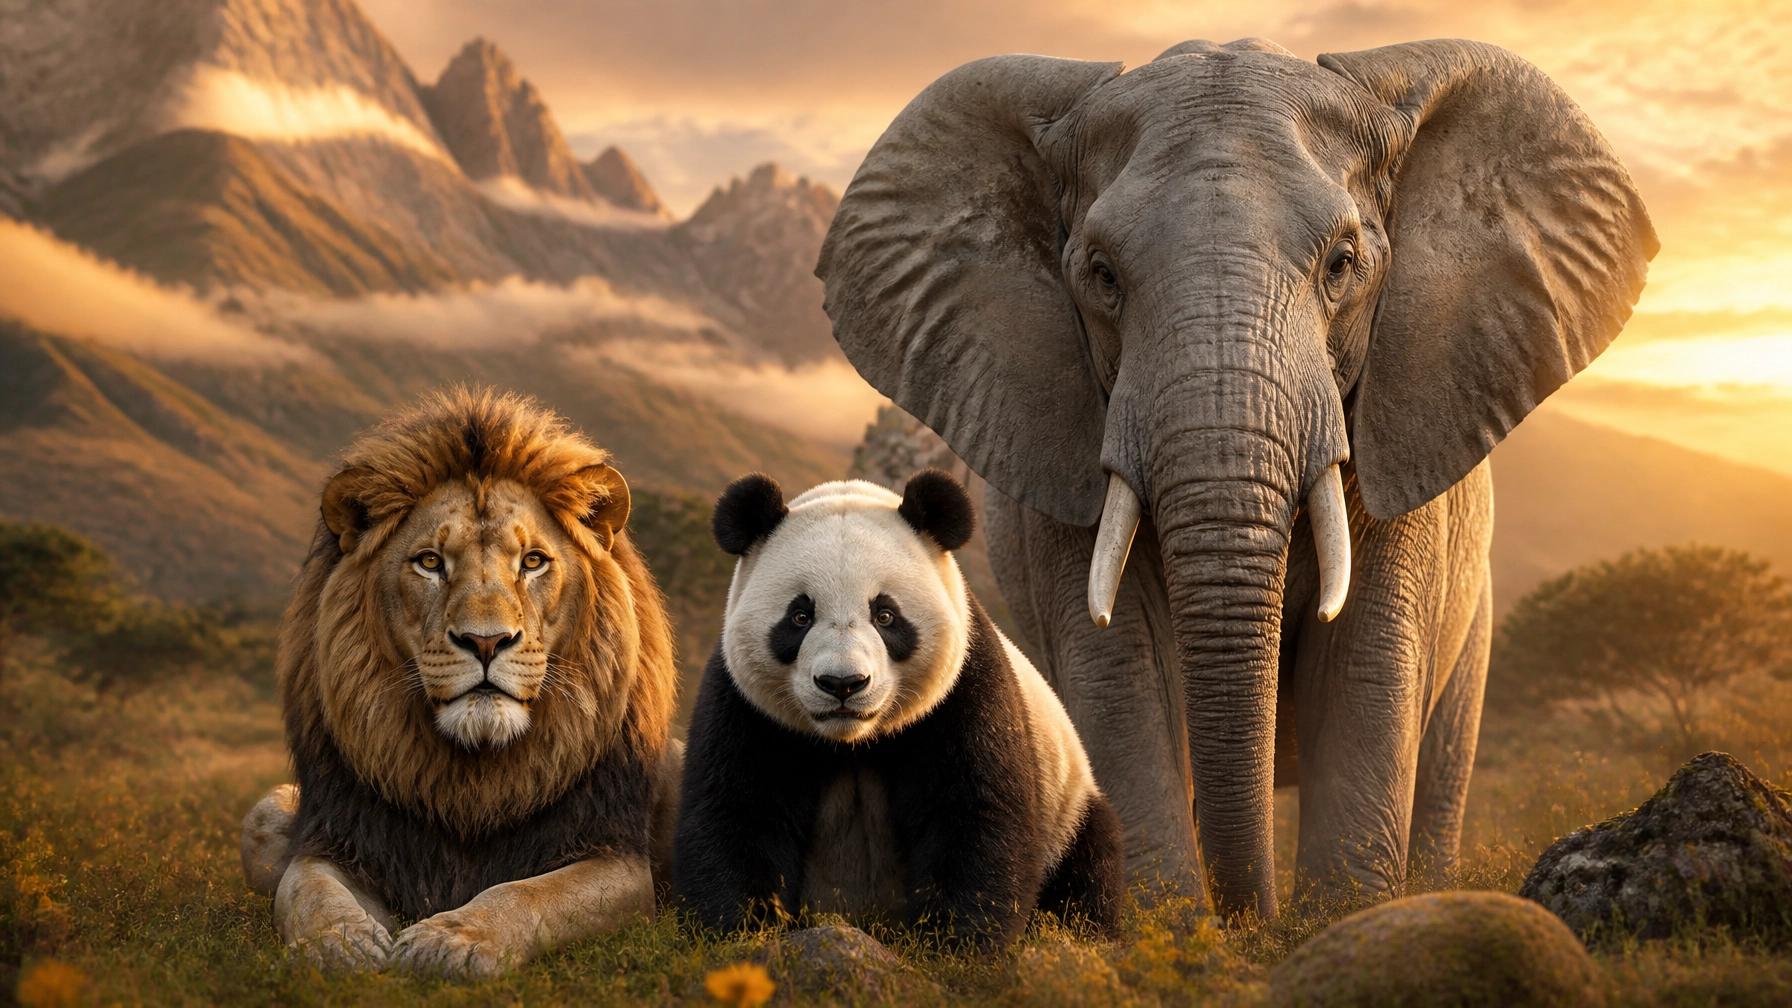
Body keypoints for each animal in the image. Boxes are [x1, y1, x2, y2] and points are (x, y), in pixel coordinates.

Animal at [239, 388, 683, 978]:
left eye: (533, 561)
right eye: (430, 562)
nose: (486, 641)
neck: (472, 777)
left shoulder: (618, 860)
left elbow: (525, 893)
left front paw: (452, 939)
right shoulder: (338, 838)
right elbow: (309, 891)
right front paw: (340, 945)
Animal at [672, 468, 1124, 947]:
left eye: (885, 615)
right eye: (800, 616)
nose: (843, 684)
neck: (851, 742)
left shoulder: (963, 691)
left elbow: (974, 816)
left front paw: (955, 946)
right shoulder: (747, 708)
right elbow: (737, 815)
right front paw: (743, 934)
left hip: (1067, 804)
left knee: (1088, 870)